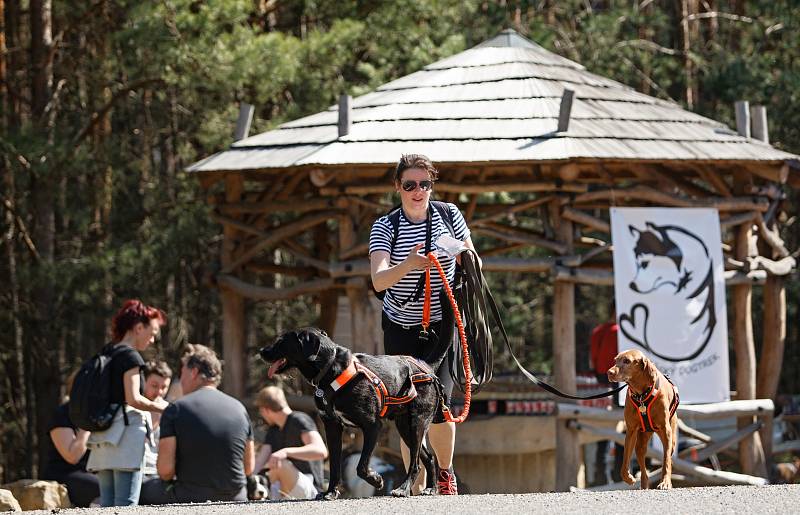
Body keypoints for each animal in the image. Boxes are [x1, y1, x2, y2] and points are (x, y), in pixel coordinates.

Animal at [260, 310, 454, 500]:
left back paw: (403, 489)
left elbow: (361, 466)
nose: (261, 351)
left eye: (282, 341)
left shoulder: (373, 426)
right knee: (429, 458)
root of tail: (425, 366)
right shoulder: (332, 426)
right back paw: (430, 488)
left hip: (417, 423)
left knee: (416, 464)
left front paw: (376, 480)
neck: (330, 371)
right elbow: (335, 465)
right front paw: (330, 492)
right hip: (405, 427)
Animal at [608, 348, 680, 490]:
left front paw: (665, 482)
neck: (642, 395)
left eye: (627, 361)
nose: (609, 372)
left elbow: (666, 461)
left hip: (671, 439)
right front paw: (628, 478)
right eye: (615, 360)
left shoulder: (666, 431)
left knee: (668, 457)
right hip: (641, 441)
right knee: (643, 466)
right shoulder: (630, 432)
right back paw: (644, 484)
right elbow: (624, 462)